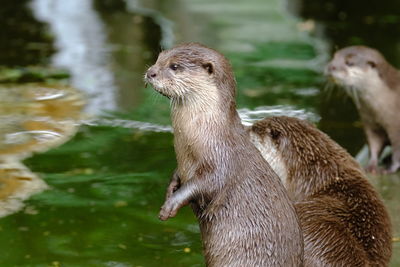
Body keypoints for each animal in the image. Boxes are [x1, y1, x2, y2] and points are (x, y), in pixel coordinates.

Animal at [145, 44, 304, 267]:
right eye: (158, 59)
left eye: (174, 66)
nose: (151, 72)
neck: (210, 132)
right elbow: (178, 176)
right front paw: (170, 191)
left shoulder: (222, 159)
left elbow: (206, 183)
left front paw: (171, 204)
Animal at [324, 46, 400, 174]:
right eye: (334, 57)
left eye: (349, 63)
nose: (330, 67)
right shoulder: (370, 123)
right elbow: (374, 145)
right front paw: (371, 166)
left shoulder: (396, 126)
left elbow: (397, 151)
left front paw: (390, 169)